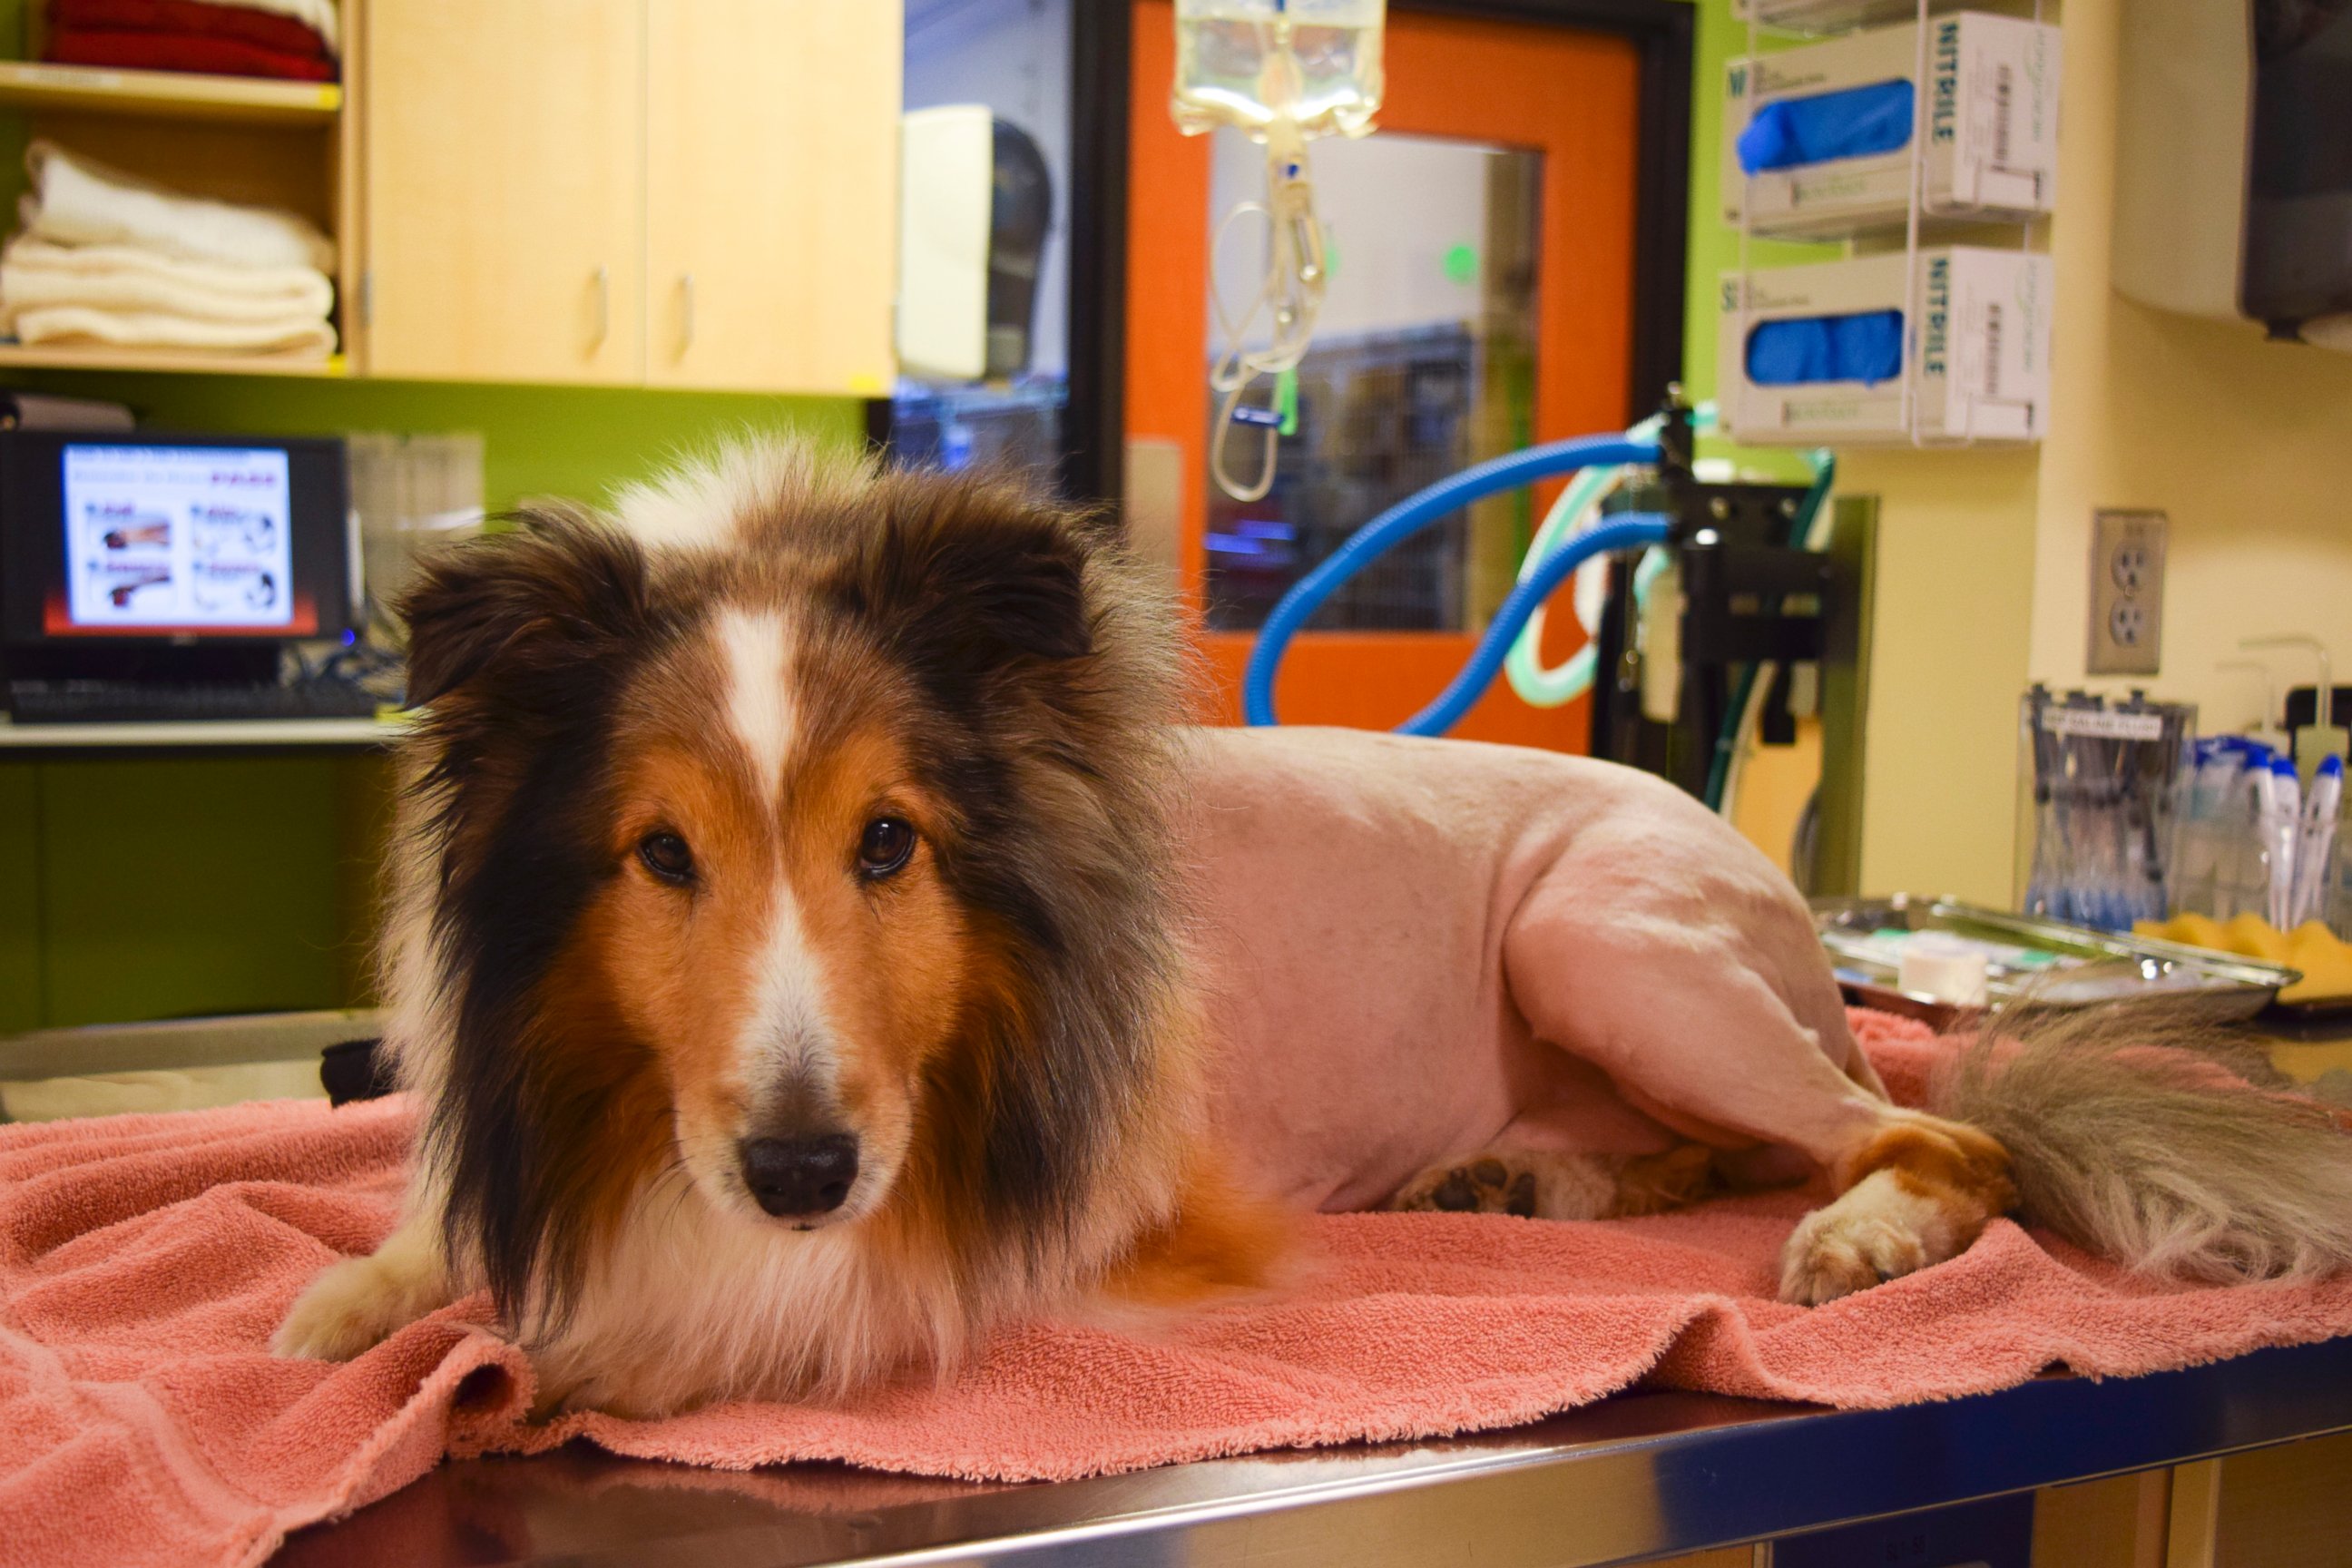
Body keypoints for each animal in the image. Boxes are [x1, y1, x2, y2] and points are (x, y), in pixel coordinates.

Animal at [279, 435, 2352, 1419]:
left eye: (889, 843)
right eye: (658, 855)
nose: (799, 1168)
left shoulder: (1079, 1207)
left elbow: (776, 1314)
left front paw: (585, 1362)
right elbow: (414, 1243)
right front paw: (361, 1299)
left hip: (1606, 943)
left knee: (1924, 1135)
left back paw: (1855, 1234)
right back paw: (1531, 1181)